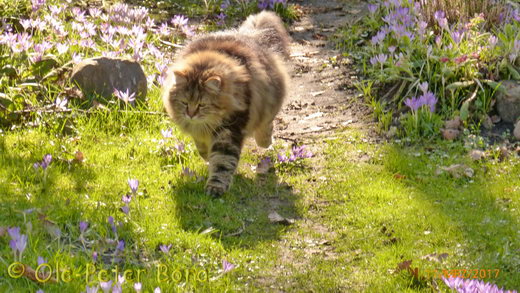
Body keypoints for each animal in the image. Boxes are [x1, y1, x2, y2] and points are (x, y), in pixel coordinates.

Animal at [162, 11, 290, 196]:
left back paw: (265, 141)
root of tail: (251, 36)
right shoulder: (199, 131)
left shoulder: (229, 130)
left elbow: (222, 162)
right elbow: (202, 148)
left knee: (266, 127)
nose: (190, 114)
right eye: (185, 102)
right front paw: (207, 156)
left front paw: (215, 187)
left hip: (268, 106)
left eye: (202, 105)